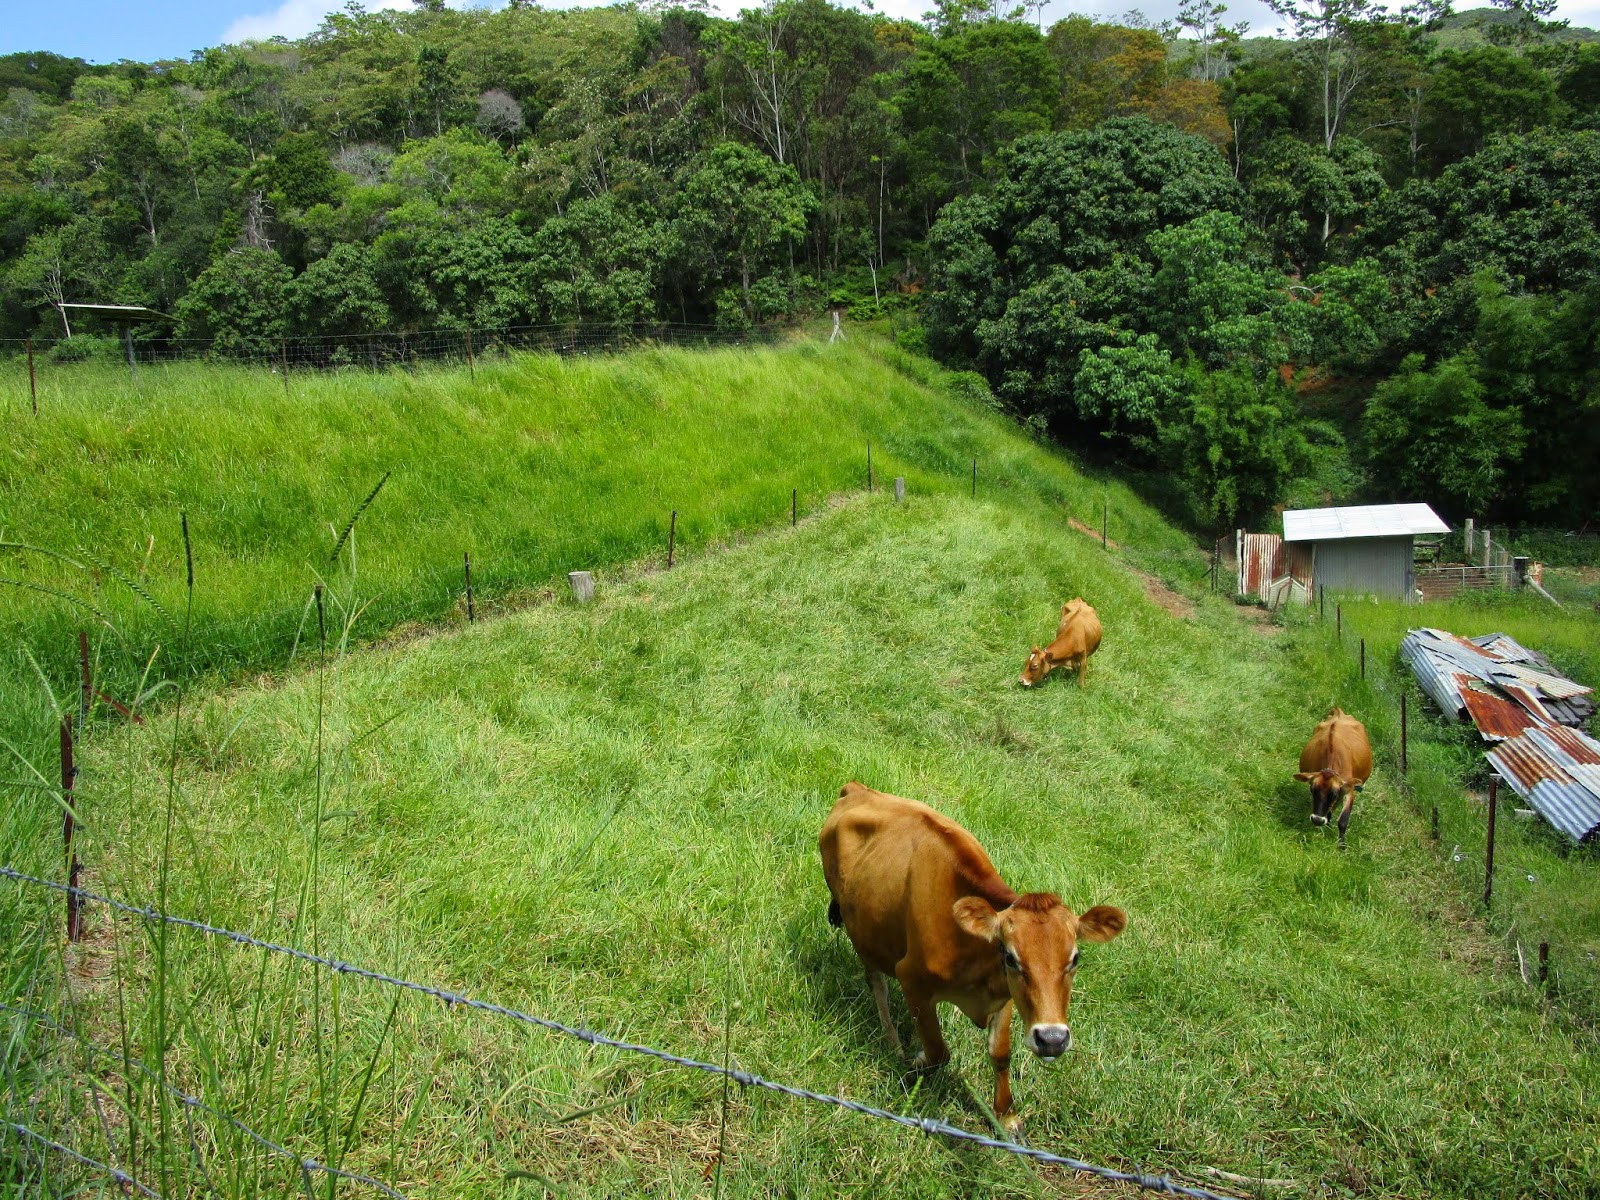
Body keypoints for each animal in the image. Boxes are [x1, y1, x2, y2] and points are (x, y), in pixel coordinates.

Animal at [819, 780, 1132, 1139]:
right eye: (1010, 957)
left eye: (1075, 958)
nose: (1052, 1039)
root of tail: (858, 788)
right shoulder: (912, 978)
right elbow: (938, 1051)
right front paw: (915, 1059)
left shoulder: (1005, 995)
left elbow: (1000, 1054)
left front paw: (1006, 1115)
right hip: (863, 933)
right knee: (878, 985)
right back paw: (893, 1042)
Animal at [1299, 710, 1376, 851]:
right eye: (1312, 790)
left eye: (1333, 794)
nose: (1317, 820)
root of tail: (1339, 712)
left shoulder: (1348, 789)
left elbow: (1343, 820)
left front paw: (1342, 845)